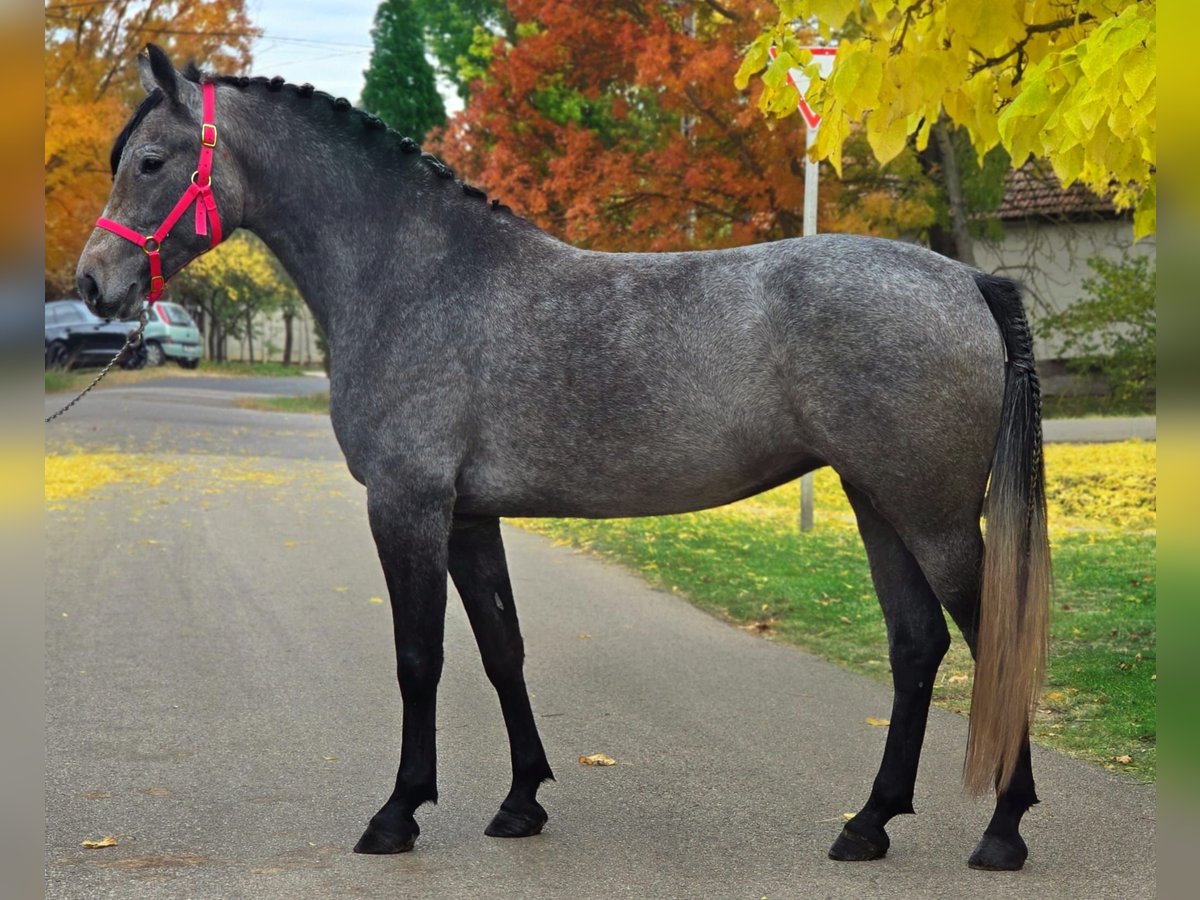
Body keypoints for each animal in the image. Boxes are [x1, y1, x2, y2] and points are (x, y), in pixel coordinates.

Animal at [76, 44, 1051, 871]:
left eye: (150, 160)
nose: (93, 283)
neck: (416, 279)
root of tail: (968, 281)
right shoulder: (470, 518)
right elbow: (502, 649)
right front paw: (520, 804)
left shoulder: (408, 508)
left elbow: (419, 658)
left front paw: (398, 814)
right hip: (876, 501)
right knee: (917, 645)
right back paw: (868, 824)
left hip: (931, 516)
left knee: (991, 640)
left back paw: (1003, 831)